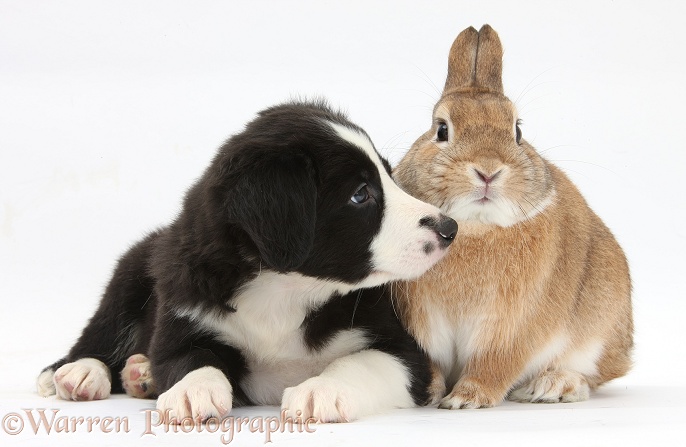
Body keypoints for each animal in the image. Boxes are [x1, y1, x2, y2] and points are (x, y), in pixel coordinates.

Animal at [36, 100, 456, 424]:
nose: (449, 228)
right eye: (360, 194)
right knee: (101, 332)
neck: (286, 289)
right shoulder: (183, 315)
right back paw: (82, 371)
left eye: (389, 175)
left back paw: (138, 373)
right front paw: (193, 389)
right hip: (129, 274)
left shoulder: (406, 352)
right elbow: (191, 358)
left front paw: (320, 389)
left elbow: (360, 362)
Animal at [392, 24, 636, 410]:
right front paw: (429, 394)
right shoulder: (424, 330)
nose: (488, 170)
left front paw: (466, 399)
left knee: (592, 375)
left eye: (517, 130)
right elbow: (433, 365)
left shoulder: (511, 332)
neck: (474, 228)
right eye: (441, 129)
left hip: (601, 328)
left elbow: (494, 366)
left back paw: (553, 386)